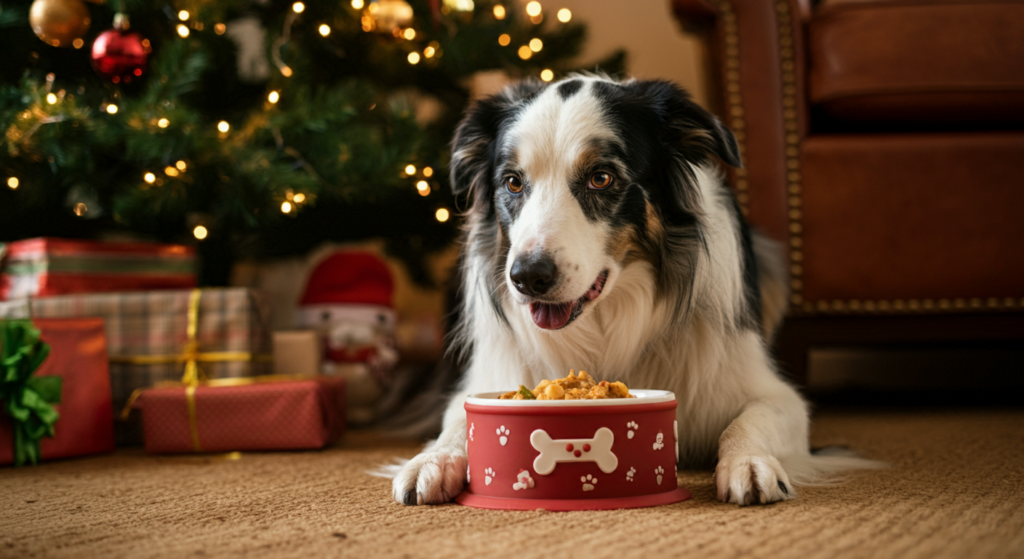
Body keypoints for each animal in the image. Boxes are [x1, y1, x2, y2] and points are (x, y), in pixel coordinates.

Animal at [387, 75, 876, 503]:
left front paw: (749, 463)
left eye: (601, 178)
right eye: (513, 182)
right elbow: (455, 423)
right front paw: (431, 461)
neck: (609, 324)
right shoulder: (487, 381)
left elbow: (748, 422)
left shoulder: (774, 394)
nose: (527, 278)